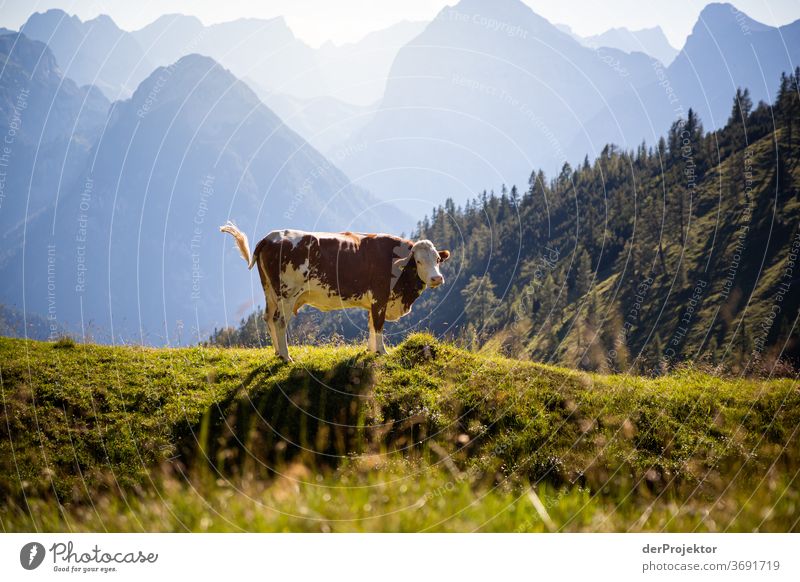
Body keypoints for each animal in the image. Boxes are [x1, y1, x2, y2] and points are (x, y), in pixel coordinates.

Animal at [219, 222, 450, 362]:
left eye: (438, 259)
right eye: (418, 261)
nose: (437, 278)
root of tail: (271, 236)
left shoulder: (373, 301)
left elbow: (370, 324)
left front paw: (371, 350)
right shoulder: (380, 297)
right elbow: (378, 325)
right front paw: (382, 352)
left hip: (269, 290)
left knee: (267, 317)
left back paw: (277, 352)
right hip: (287, 293)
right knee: (279, 321)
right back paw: (286, 356)